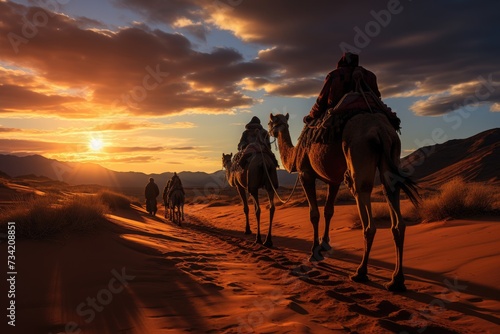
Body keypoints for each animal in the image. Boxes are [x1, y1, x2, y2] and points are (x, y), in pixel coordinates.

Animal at [270, 113, 418, 292]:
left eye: (271, 122)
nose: (270, 132)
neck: (296, 152)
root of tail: (381, 130)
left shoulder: (306, 173)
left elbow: (314, 214)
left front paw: (314, 251)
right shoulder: (333, 180)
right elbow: (328, 211)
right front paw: (324, 245)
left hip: (358, 153)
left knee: (363, 199)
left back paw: (360, 272)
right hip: (393, 152)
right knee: (391, 192)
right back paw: (396, 280)